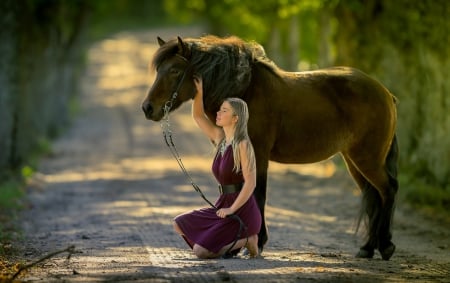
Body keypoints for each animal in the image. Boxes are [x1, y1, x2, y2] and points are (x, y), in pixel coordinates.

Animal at [142, 35, 400, 262]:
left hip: (367, 159)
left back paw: (386, 246)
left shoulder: (257, 154)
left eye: (175, 71)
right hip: (354, 160)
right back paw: (367, 248)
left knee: (388, 190)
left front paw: (257, 241)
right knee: (373, 197)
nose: (147, 108)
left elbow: (257, 194)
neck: (244, 88)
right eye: (159, 70)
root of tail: (385, 93)